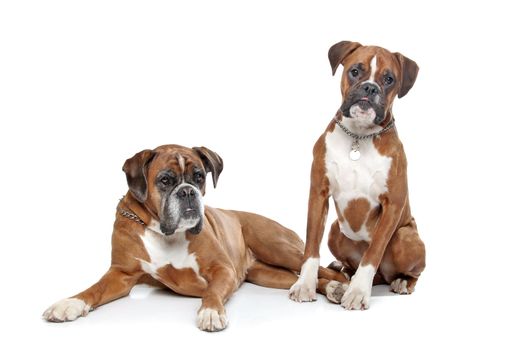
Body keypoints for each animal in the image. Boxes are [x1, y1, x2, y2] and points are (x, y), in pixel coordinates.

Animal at [42, 144, 344, 330]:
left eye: (199, 176)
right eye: (165, 180)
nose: (188, 191)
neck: (162, 231)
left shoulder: (222, 270)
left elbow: (212, 291)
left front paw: (210, 311)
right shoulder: (121, 274)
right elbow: (94, 289)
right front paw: (69, 304)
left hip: (278, 247)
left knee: (324, 270)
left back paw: (339, 287)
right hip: (266, 274)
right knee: (302, 278)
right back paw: (325, 290)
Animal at [288, 40, 424, 308]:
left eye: (389, 79)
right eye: (355, 71)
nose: (369, 87)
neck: (359, 138)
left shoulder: (393, 205)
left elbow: (373, 253)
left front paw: (358, 291)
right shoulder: (318, 194)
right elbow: (311, 247)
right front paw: (305, 285)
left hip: (405, 237)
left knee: (412, 272)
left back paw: (402, 282)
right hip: (333, 231)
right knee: (351, 264)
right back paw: (342, 269)